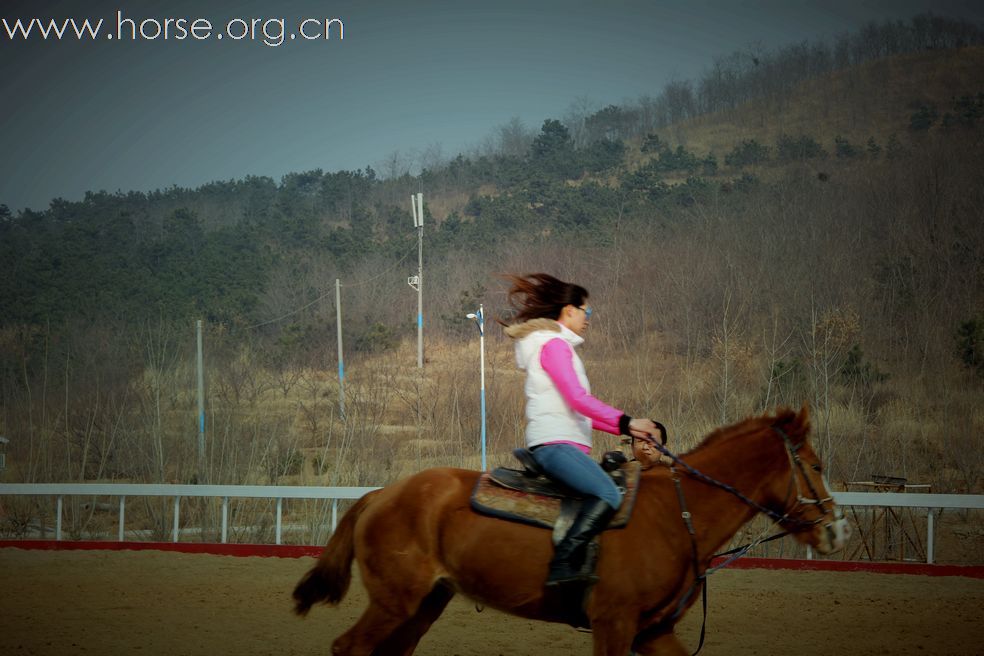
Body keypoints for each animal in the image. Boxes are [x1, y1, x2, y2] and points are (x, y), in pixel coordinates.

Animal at [292, 408, 844, 652]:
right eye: (816, 466)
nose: (837, 529)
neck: (675, 514)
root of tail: (381, 494)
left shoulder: (653, 631)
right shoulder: (614, 623)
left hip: (424, 604)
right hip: (394, 602)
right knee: (348, 648)